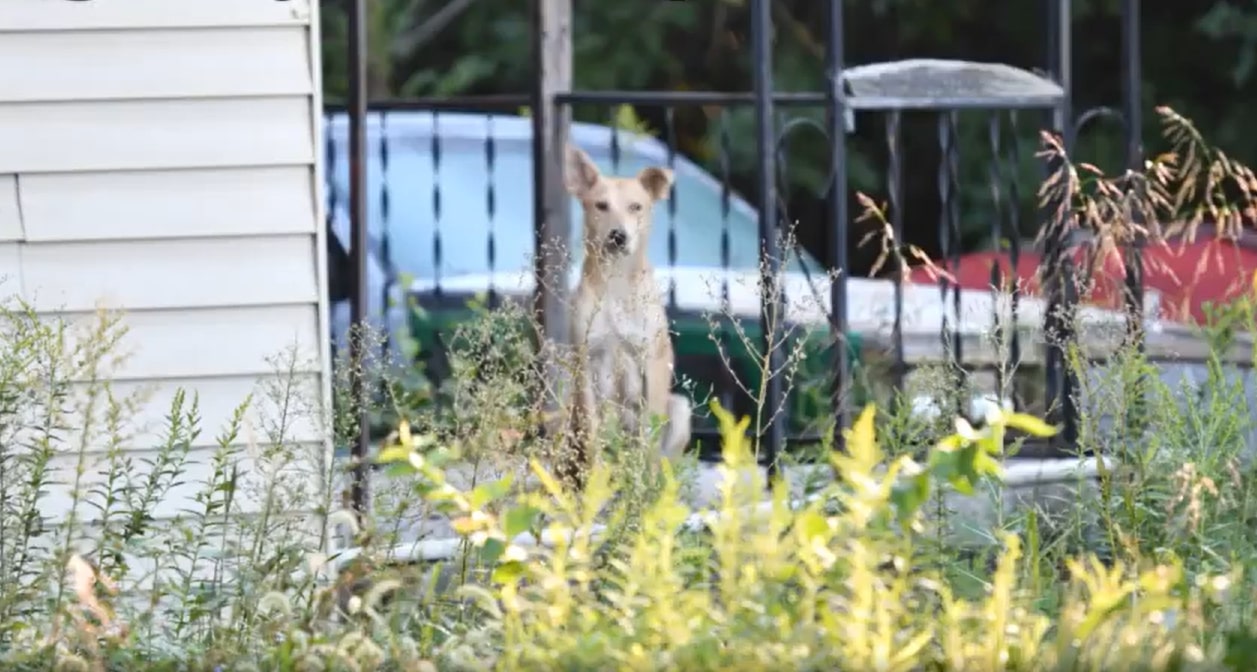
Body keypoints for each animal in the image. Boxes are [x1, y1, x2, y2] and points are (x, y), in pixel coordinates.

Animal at [560, 144, 693, 487]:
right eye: (601, 205)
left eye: (636, 207)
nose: (618, 236)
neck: (617, 282)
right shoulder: (585, 360)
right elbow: (593, 435)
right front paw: (596, 484)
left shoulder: (652, 361)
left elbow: (650, 436)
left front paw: (641, 486)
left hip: (681, 409)